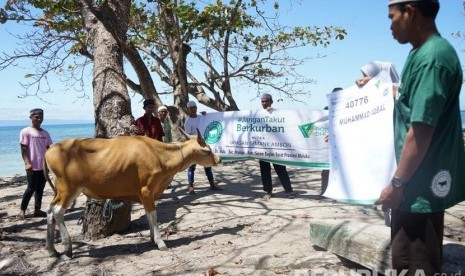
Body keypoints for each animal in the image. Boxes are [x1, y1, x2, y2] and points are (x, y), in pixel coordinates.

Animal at [42, 130, 220, 258]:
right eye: (207, 151)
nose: (218, 160)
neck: (158, 154)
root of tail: (51, 148)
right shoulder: (146, 190)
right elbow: (153, 215)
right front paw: (160, 242)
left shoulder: (147, 194)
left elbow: (149, 216)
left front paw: (152, 238)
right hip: (69, 189)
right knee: (57, 212)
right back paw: (67, 249)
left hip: (60, 191)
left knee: (50, 211)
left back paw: (52, 250)